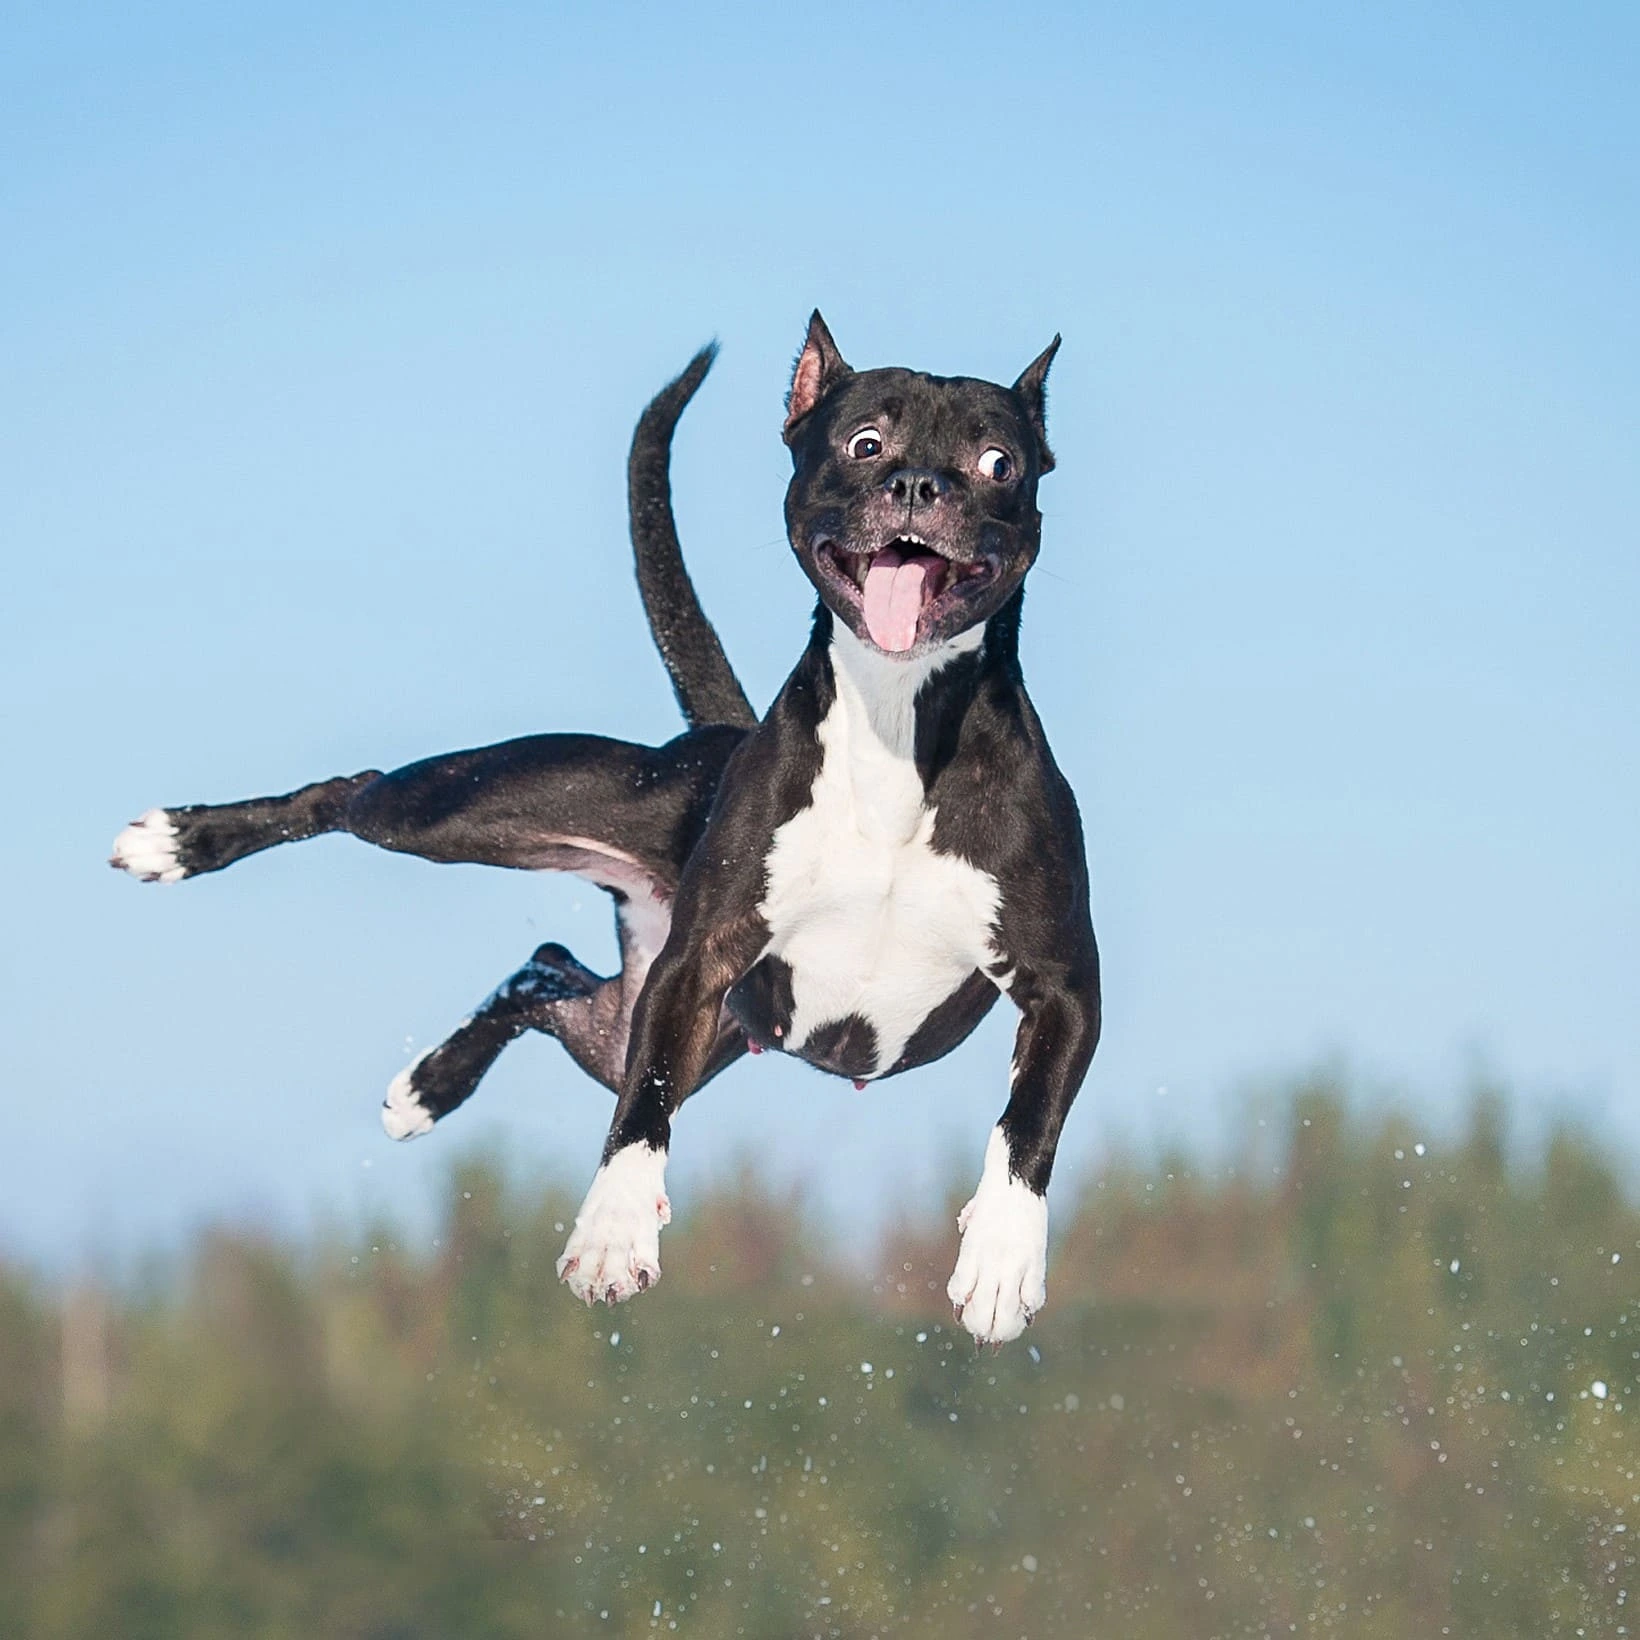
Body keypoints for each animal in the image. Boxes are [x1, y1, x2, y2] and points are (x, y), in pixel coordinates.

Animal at [109, 319, 1095, 1344]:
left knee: (544, 969)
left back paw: (428, 1087)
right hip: (463, 814)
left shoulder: (1064, 992)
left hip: (625, 1018)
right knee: (356, 794)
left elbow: (1028, 1120)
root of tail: (720, 736)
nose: (919, 487)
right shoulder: (696, 966)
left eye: (998, 462)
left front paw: (1001, 1261)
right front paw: (615, 1233)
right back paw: (179, 844)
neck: (898, 721)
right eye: (866, 443)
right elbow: (642, 1112)